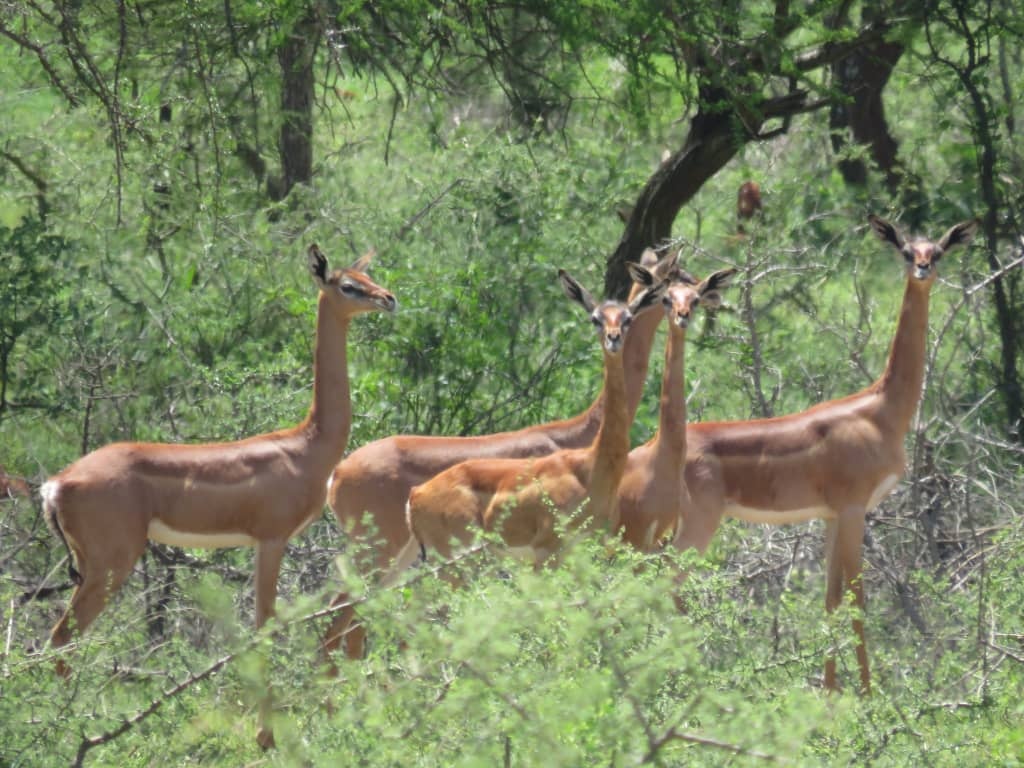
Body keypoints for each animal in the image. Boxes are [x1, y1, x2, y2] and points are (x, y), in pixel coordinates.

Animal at [39, 243, 393, 749]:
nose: (388, 298)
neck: (306, 444)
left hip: (88, 566)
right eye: (348, 285)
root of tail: (56, 483)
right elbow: (264, 626)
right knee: (60, 637)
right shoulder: (272, 539)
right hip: (112, 565)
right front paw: (266, 738)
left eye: (368, 276)